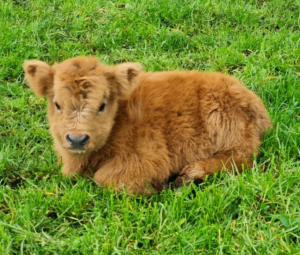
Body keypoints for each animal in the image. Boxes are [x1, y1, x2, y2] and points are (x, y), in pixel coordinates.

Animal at [23, 56, 272, 194]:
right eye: (57, 104)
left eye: (102, 105)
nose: (77, 139)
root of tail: (253, 101)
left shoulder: (148, 157)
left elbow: (107, 179)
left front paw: (155, 188)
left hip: (227, 127)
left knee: (240, 159)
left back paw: (187, 177)